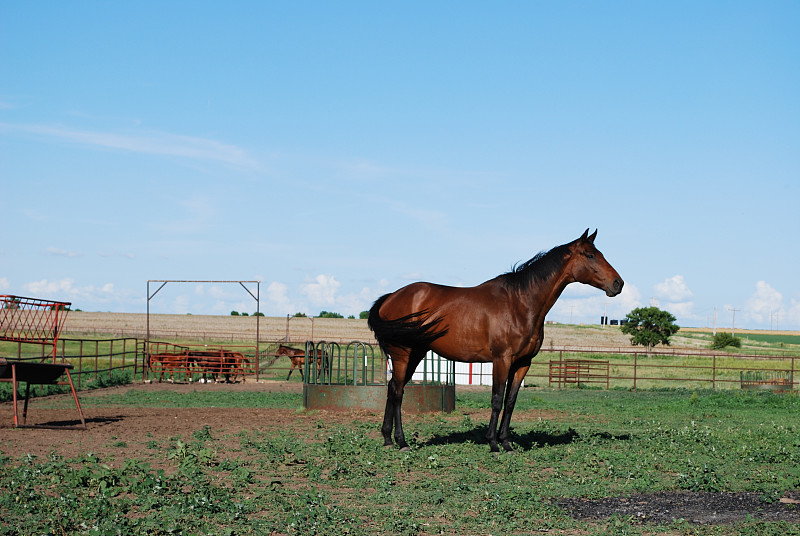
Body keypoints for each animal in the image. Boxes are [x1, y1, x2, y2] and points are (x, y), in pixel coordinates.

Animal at [368, 230, 624, 452]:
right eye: (590, 255)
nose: (618, 284)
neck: (520, 303)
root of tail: (390, 297)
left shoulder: (522, 363)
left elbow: (510, 402)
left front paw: (506, 443)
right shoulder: (502, 360)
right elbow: (497, 399)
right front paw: (492, 443)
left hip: (416, 354)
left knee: (393, 389)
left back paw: (387, 439)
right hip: (403, 354)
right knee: (398, 392)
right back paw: (401, 442)